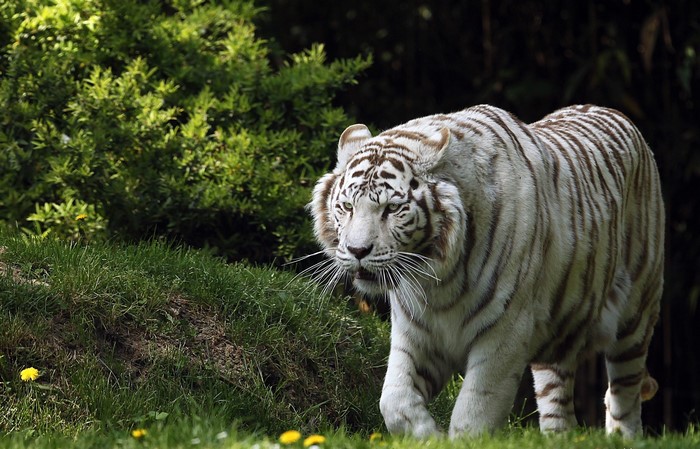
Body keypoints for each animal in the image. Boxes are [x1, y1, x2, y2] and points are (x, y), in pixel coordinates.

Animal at [307, 104, 664, 438]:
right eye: (347, 207)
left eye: (392, 209)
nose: (358, 251)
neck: (437, 281)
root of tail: (618, 114)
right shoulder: (415, 333)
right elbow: (394, 402)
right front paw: (430, 437)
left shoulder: (505, 333)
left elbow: (474, 411)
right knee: (559, 403)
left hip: (636, 316)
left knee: (625, 394)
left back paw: (623, 436)